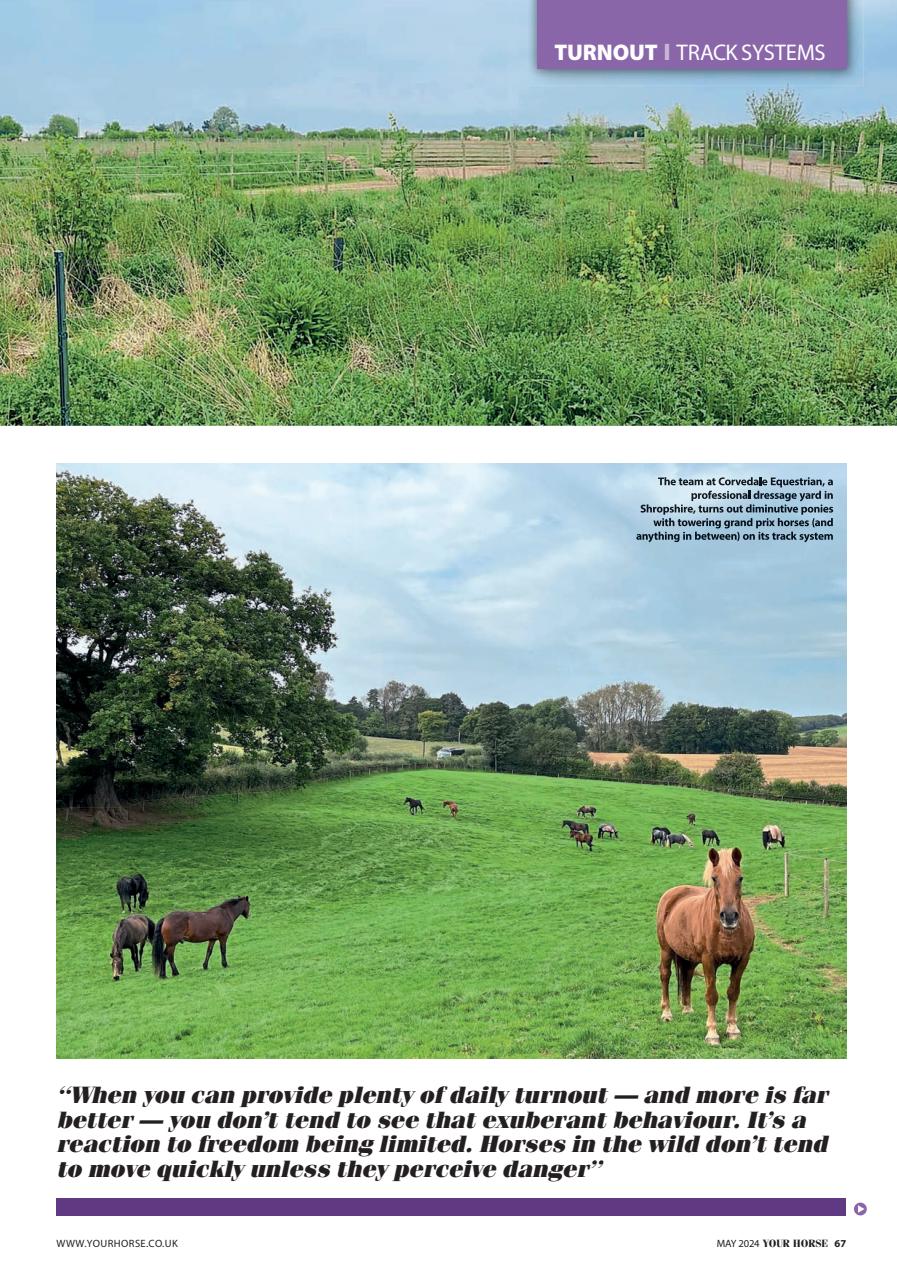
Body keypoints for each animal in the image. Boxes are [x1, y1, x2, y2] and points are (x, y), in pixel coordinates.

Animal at [656, 848, 755, 1046]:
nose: (729, 917)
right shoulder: (709, 960)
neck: (726, 932)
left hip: (689, 957)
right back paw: (667, 1013)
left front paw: (732, 1029)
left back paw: (687, 1008)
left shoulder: (742, 960)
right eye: (714, 878)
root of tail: (672, 894)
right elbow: (712, 995)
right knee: (665, 975)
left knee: (687, 975)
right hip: (666, 950)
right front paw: (712, 1033)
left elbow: (733, 992)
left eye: (740, 878)